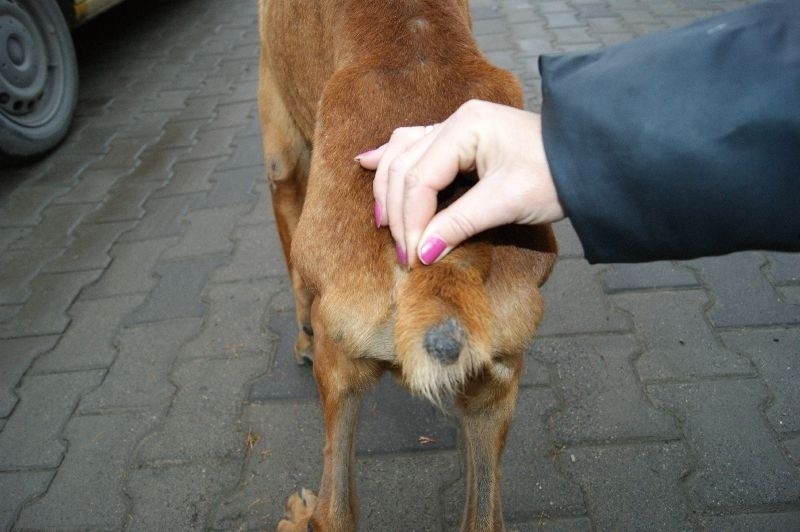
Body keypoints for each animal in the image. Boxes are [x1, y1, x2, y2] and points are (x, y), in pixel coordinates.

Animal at [258, 2, 556, 528]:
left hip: (339, 373)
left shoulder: (281, 154)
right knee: (485, 517)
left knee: (334, 513)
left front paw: (301, 339)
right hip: (495, 387)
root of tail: (450, 260)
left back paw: (301, 513)